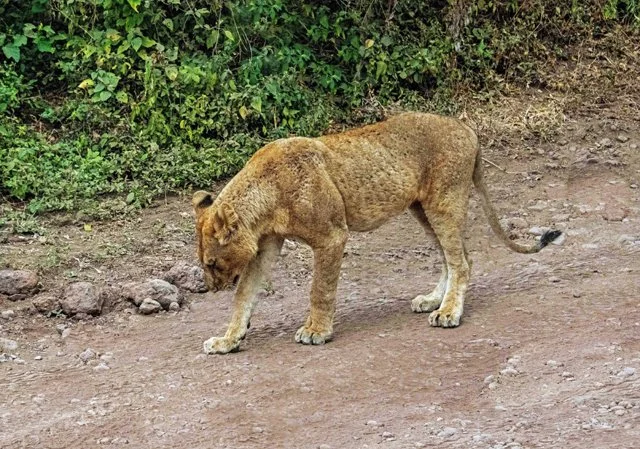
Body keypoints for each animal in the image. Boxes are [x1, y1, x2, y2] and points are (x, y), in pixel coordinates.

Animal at [193, 112, 561, 354]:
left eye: (211, 263)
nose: (210, 289)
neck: (265, 195)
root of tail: (467, 129)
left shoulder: (332, 236)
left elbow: (320, 290)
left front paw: (316, 331)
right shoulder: (265, 246)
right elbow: (244, 296)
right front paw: (228, 340)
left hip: (444, 201)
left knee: (462, 261)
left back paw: (448, 312)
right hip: (422, 209)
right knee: (450, 256)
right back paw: (433, 301)